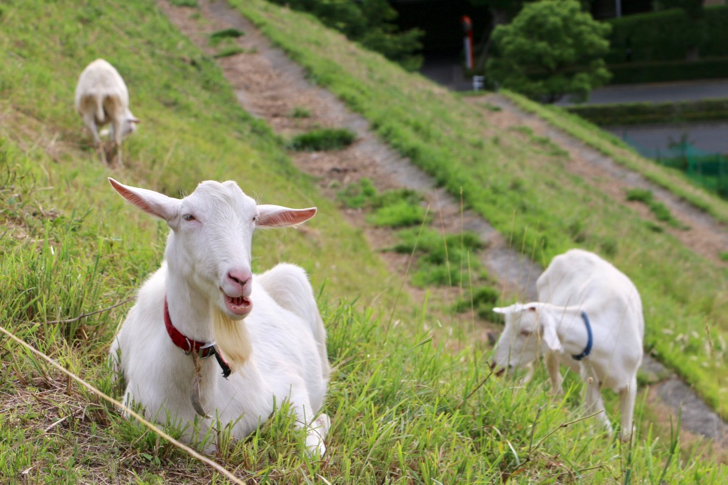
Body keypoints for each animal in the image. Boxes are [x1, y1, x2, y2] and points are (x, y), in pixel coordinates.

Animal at [107, 177, 330, 454]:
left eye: (253, 218)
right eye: (189, 216)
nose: (241, 278)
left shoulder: (288, 384)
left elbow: (314, 450)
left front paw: (322, 423)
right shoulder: (134, 410)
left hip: (294, 281)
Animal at [490, 248, 644, 440]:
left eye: (526, 331)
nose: (494, 365)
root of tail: (570, 252)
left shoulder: (630, 384)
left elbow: (625, 433)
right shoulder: (590, 376)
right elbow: (605, 427)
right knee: (556, 378)